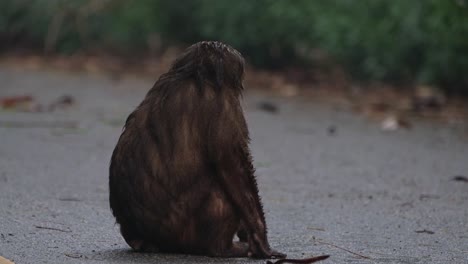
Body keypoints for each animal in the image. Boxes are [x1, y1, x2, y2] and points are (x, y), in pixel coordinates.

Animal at [109, 41, 286, 260]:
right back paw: (223, 248)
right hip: (182, 234)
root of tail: (141, 240)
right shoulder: (223, 102)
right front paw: (259, 236)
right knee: (221, 190)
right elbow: (233, 167)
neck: (190, 76)